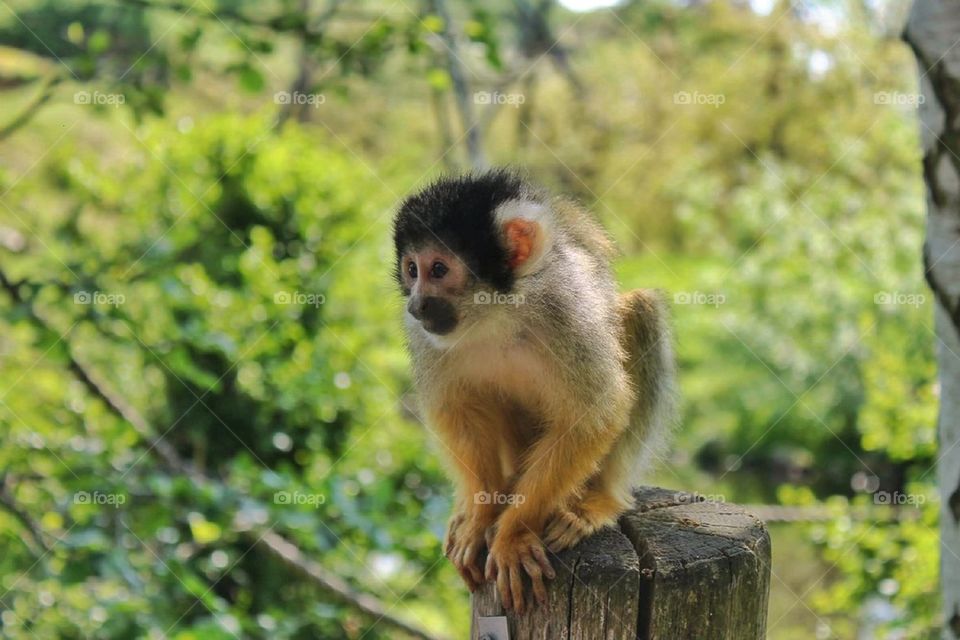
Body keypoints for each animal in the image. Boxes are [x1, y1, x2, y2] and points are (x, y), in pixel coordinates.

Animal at [390, 170, 676, 616]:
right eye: (411, 270)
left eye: (438, 269)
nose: (416, 306)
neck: (496, 314)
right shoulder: (424, 338)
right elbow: (454, 411)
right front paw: (481, 515)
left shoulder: (567, 310)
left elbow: (596, 414)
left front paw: (514, 534)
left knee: (643, 309)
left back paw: (599, 500)